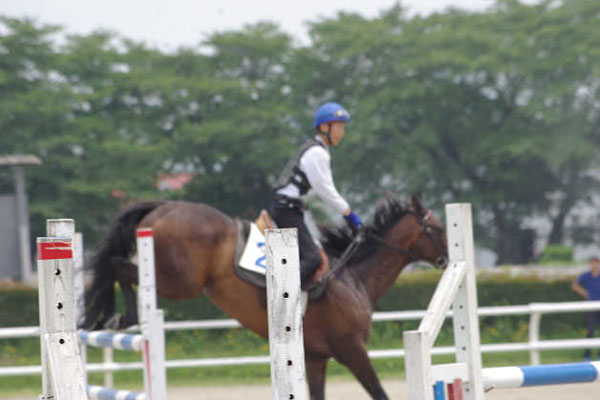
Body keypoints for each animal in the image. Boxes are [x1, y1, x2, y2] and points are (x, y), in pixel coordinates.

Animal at [82, 194, 448, 400]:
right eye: (438, 228)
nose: (447, 259)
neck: (353, 277)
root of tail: (164, 207)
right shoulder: (353, 353)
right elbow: (380, 394)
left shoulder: (316, 359)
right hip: (179, 282)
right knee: (118, 266)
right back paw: (120, 315)